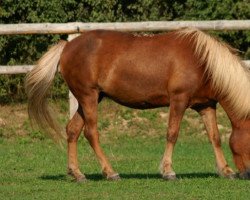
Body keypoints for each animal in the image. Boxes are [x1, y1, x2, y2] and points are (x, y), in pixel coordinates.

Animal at [24, 27, 250, 182]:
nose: (247, 174)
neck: (202, 61)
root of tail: (67, 46)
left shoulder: (206, 105)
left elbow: (215, 137)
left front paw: (226, 170)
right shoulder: (179, 100)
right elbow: (172, 134)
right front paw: (168, 171)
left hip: (89, 98)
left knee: (72, 130)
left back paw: (77, 173)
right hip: (88, 97)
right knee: (91, 132)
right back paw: (110, 172)